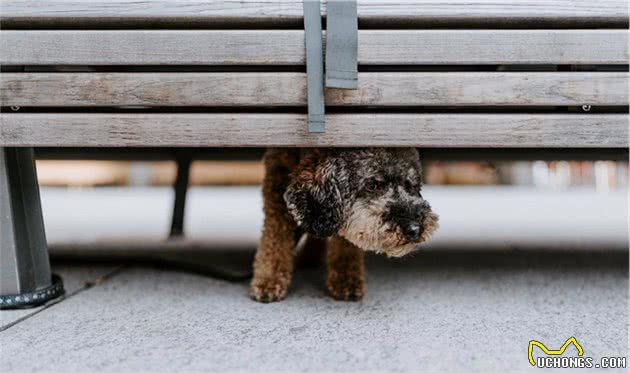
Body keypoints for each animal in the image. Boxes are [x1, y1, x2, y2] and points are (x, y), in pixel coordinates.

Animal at [248, 147, 440, 300]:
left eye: (410, 185)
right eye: (372, 185)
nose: (415, 229)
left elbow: (344, 240)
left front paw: (346, 279)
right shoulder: (276, 186)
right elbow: (275, 236)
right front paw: (268, 279)